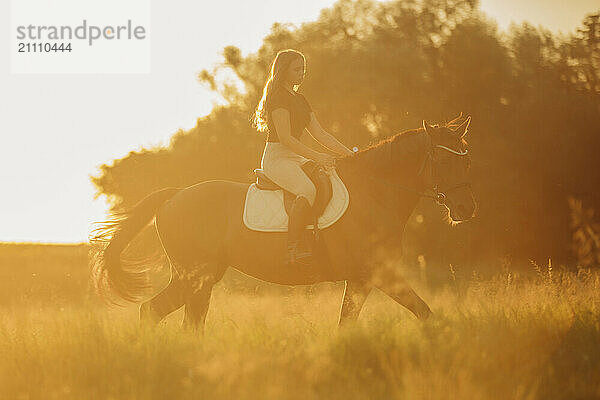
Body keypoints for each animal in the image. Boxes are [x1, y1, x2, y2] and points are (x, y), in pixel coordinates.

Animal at [89, 115, 476, 332]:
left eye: (466, 158)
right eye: (442, 160)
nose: (465, 209)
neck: (375, 192)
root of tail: (175, 194)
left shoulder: (362, 279)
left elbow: (347, 325)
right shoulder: (380, 275)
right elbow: (425, 312)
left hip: (203, 279)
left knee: (188, 322)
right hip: (192, 276)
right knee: (151, 312)